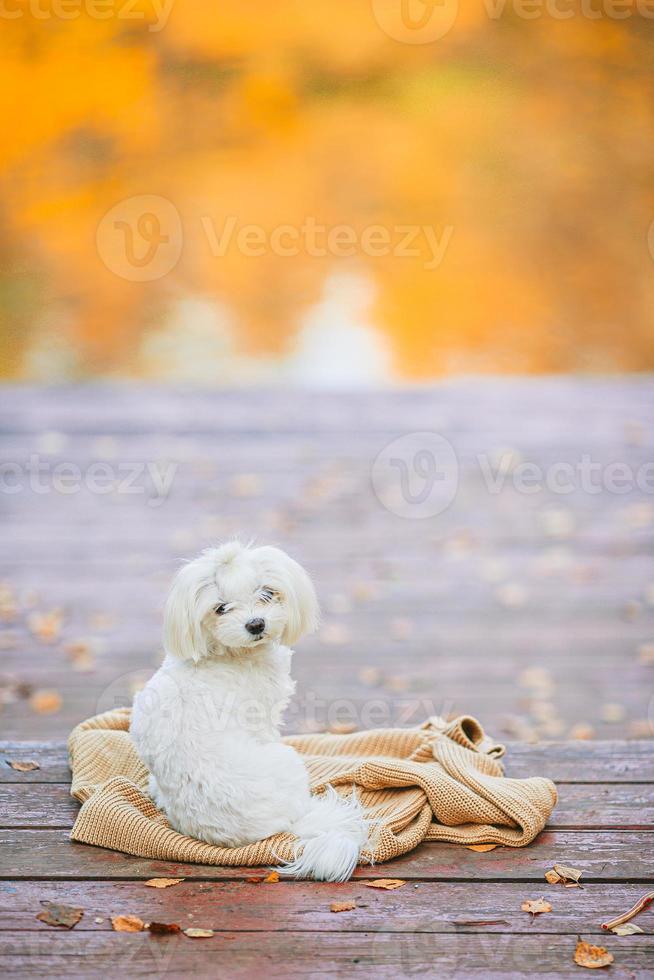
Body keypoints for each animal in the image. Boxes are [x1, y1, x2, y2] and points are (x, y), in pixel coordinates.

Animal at [131, 540, 372, 884]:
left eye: (267, 593)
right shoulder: (265, 719)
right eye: (220, 608)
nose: (256, 624)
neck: (226, 653)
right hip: (287, 761)